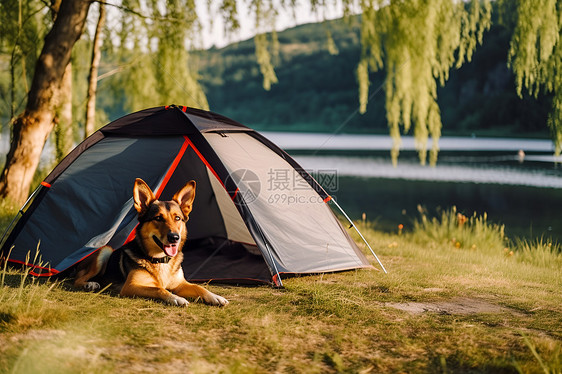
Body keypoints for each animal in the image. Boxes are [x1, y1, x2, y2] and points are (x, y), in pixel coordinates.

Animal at [74, 178, 228, 306]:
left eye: (177, 218)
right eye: (158, 218)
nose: (174, 237)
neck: (161, 259)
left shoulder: (180, 284)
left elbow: (198, 287)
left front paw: (215, 297)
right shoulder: (131, 286)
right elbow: (159, 289)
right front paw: (176, 298)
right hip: (105, 251)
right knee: (78, 278)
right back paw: (90, 284)